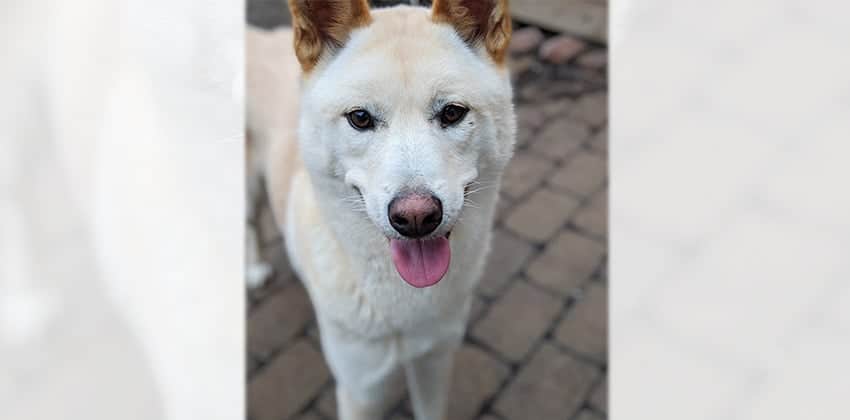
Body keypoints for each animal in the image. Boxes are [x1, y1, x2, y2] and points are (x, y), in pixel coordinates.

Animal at [245, 1, 510, 418]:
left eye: (452, 113)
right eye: (360, 118)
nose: (416, 218)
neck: (407, 302)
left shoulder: (436, 363)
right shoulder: (361, 389)